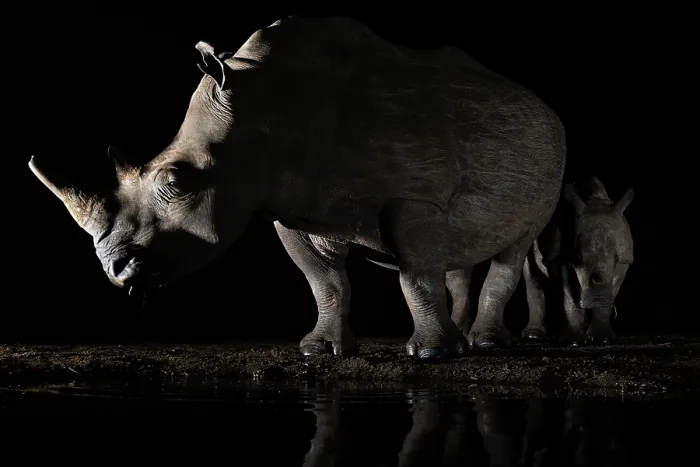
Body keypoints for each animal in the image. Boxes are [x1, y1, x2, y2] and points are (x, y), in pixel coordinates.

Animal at [28, 15, 566, 358]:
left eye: (177, 182)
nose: (115, 271)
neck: (260, 113)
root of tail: (544, 105)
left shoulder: (414, 197)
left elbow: (415, 274)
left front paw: (432, 355)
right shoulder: (289, 207)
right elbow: (324, 281)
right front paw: (321, 351)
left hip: (554, 156)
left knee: (513, 246)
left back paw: (484, 344)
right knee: (460, 248)